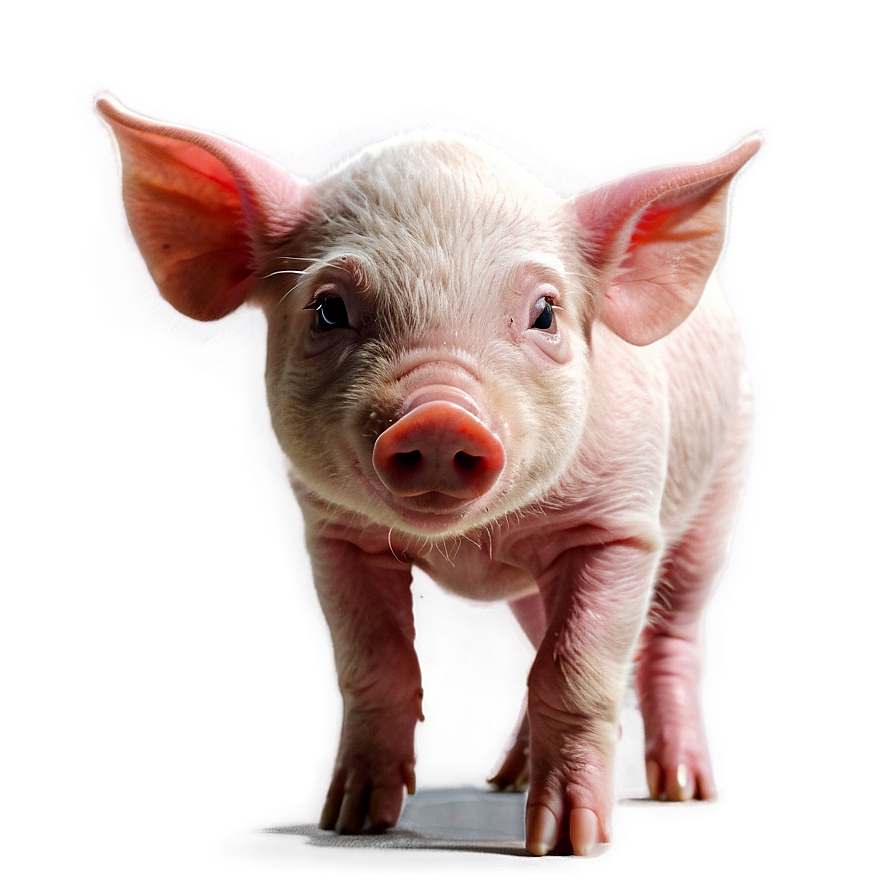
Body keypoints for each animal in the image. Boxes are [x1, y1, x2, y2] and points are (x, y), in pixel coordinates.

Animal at [94, 91, 762, 857]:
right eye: (328, 308)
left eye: (545, 313)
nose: (440, 419)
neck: (470, 546)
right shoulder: (334, 535)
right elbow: (374, 662)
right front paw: (351, 824)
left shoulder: (617, 527)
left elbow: (575, 670)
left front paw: (565, 844)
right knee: (537, 634)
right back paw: (501, 780)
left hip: (721, 491)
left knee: (673, 637)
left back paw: (683, 789)